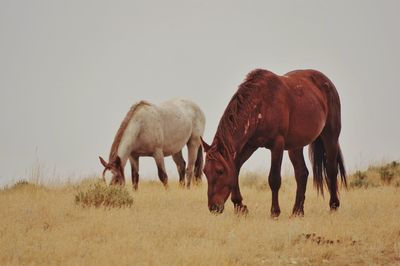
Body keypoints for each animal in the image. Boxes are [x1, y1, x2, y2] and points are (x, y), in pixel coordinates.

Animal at [203, 69, 346, 218]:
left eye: (220, 171)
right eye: (205, 172)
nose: (213, 207)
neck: (261, 104)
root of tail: (327, 82)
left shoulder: (277, 145)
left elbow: (274, 179)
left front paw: (275, 212)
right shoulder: (250, 145)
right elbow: (235, 169)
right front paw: (240, 206)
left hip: (330, 136)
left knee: (331, 170)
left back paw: (333, 206)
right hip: (296, 146)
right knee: (302, 173)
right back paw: (297, 211)